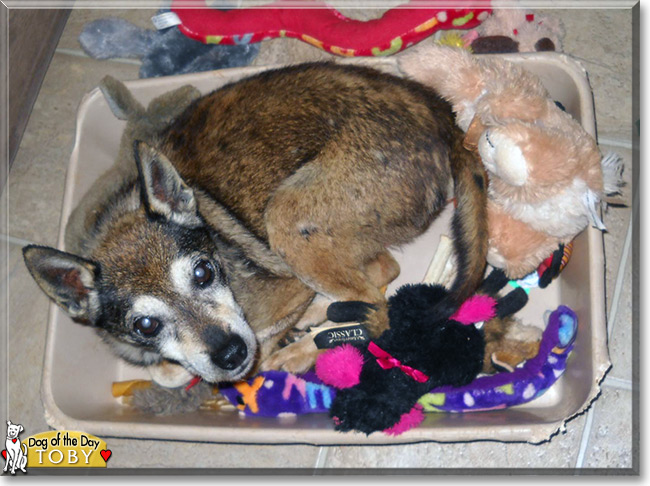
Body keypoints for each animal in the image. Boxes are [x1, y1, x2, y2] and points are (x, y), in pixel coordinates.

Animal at [21, 62, 486, 386]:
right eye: (146, 325)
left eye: (203, 273)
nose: (230, 354)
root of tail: (439, 112)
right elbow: (166, 369)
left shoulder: (281, 293)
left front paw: (279, 343)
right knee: (381, 270)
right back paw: (316, 314)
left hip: (287, 218)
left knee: (375, 301)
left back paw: (302, 346)